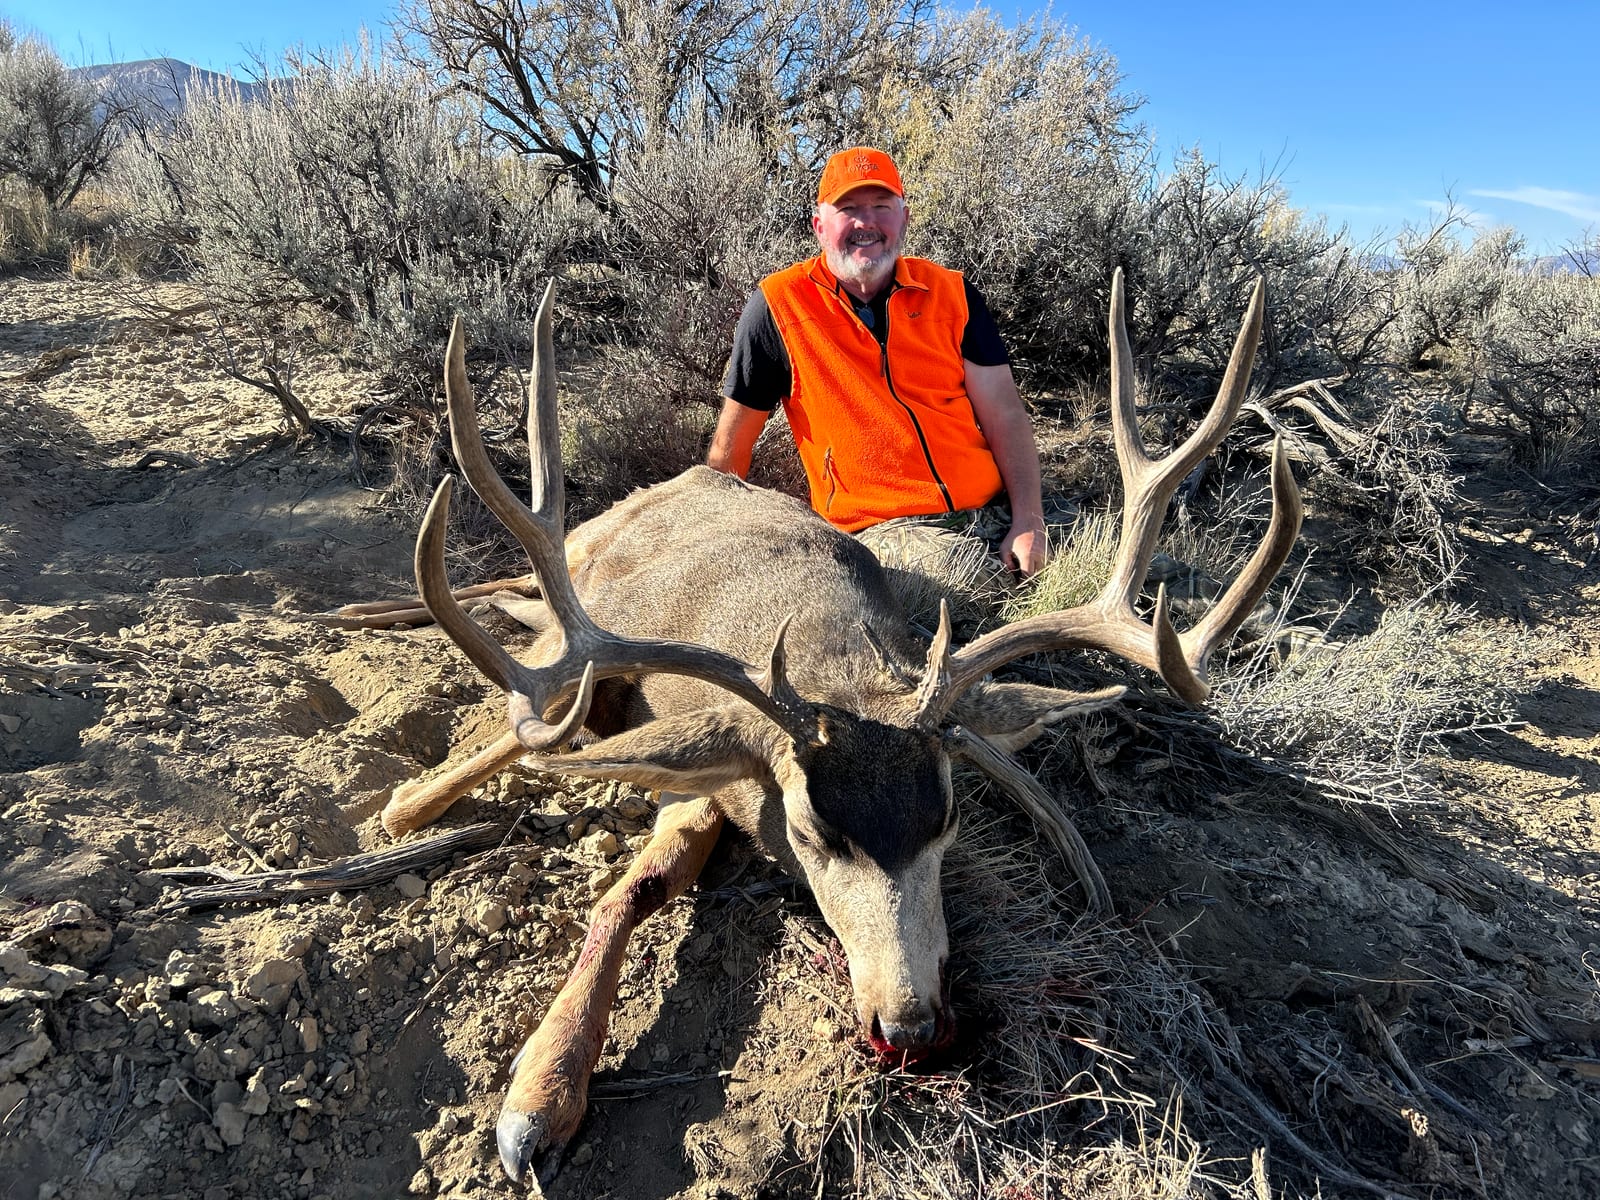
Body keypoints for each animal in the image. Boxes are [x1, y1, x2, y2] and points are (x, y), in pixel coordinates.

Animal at [335, 268, 1301, 1186]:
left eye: (949, 819)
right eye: (809, 831)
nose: (911, 1025)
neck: (819, 648)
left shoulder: (713, 780)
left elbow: (641, 882)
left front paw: (547, 1088)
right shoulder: (657, 702)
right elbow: (508, 772)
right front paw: (532, 1104)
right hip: (579, 559)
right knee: (514, 600)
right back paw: (360, 616)